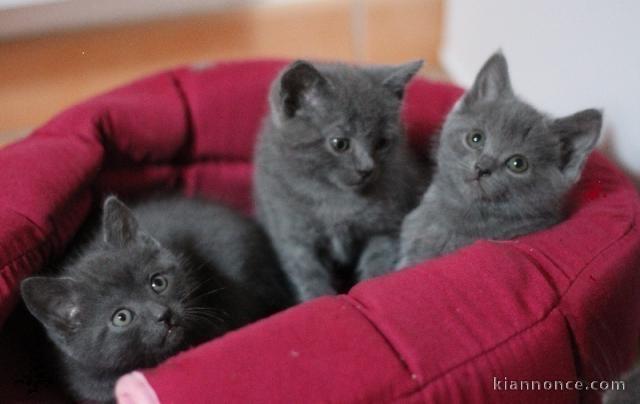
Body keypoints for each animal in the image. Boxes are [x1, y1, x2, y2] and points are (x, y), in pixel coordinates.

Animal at [255, 59, 424, 300]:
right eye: (339, 143)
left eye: (382, 143)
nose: (367, 168)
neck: (335, 198)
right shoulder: (292, 237)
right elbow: (306, 274)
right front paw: (318, 298)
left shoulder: (387, 226)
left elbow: (379, 259)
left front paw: (372, 283)